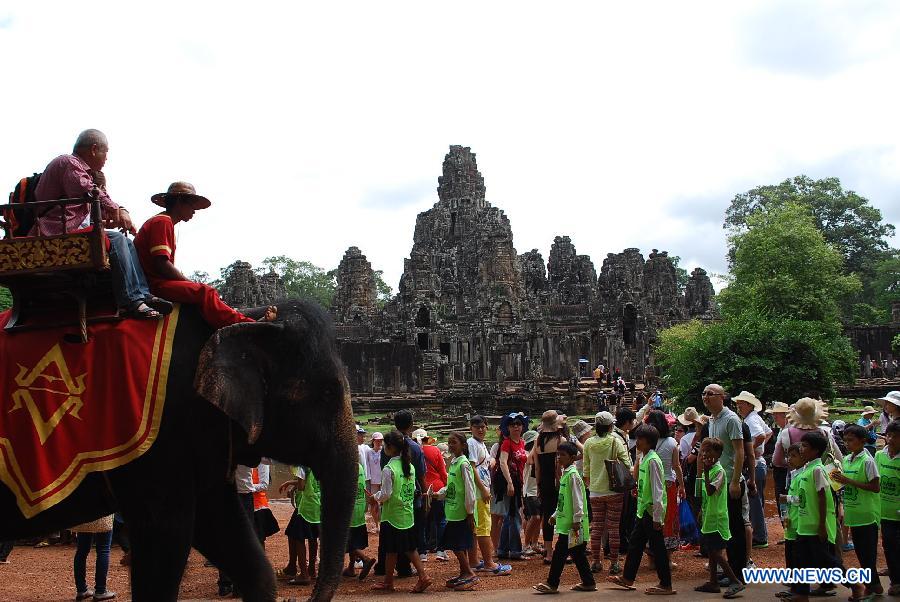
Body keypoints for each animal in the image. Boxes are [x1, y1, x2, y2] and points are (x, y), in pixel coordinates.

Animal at [0, 300, 358, 600]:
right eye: (328, 392)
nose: (308, 594)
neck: (244, 318)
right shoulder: (164, 442)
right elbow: (166, 536)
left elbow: (232, 541)